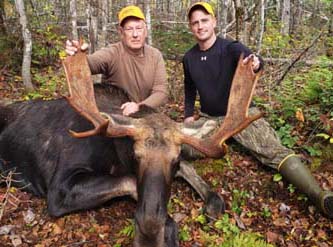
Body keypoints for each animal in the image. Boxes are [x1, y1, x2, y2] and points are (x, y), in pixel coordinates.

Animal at [0, 50, 260, 247]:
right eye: (136, 156)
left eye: (174, 160)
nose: (148, 230)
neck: (115, 151)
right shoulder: (59, 188)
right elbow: (130, 181)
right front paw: (164, 228)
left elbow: (190, 169)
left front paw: (211, 202)